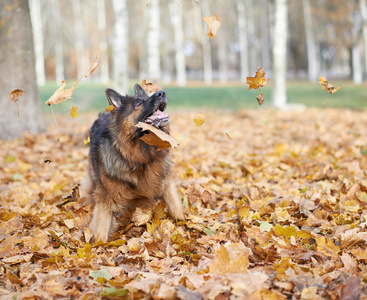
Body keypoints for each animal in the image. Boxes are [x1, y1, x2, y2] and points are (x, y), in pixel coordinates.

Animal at [82, 83, 184, 243]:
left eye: (146, 97)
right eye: (138, 103)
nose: (161, 93)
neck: (143, 156)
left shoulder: (165, 182)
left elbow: (176, 209)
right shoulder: (105, 199)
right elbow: (101, 232)